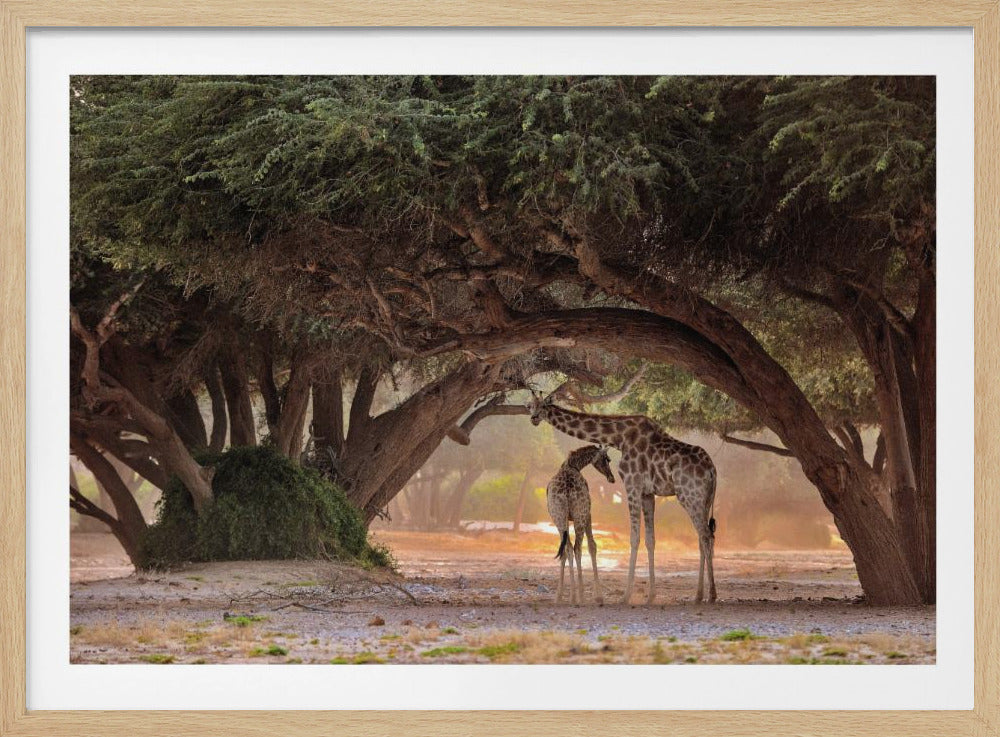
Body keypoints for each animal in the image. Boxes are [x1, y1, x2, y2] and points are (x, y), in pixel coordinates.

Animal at [546, 445, 615, 605]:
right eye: (607, 459)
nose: (611, 478)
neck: (574, 465)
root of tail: (566, 490)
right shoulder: (588, 514)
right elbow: (592, 546)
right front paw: (598, 596)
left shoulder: (564, 519)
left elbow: (565, 551)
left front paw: (560, 596)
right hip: (579, 516)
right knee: (577, 548)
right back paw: (581, 595)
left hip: (559, 518)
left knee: (567, 549)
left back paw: (570, 596)